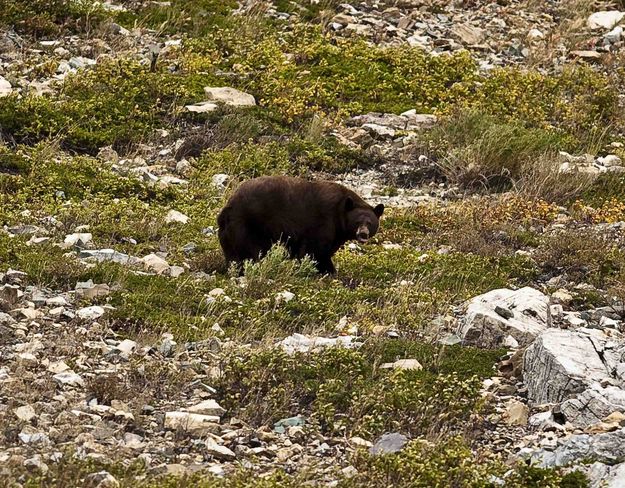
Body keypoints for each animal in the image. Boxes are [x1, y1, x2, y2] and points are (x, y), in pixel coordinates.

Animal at [219, 176, 386, 274]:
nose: (363, 233)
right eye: (357, 221)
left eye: (370, 223)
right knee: (250, 252)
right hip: (247, 226)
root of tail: (228, 206)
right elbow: (314, 251)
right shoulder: (323, 221)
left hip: (228, 233)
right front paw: (321, 270)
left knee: (233, 255)